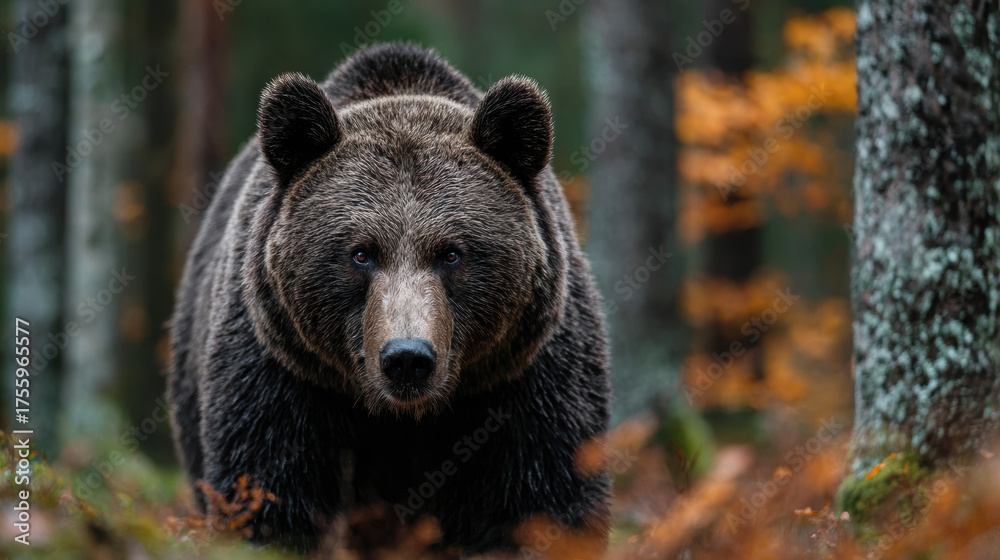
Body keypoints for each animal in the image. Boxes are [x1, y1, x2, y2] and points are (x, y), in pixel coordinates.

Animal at [168, 42, 611, 554]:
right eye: (361, 253)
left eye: (451, 253)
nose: (407, 358)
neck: (402, 418)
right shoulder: (282, 374)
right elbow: (269, 492)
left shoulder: (524, 379)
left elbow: (543, 501)